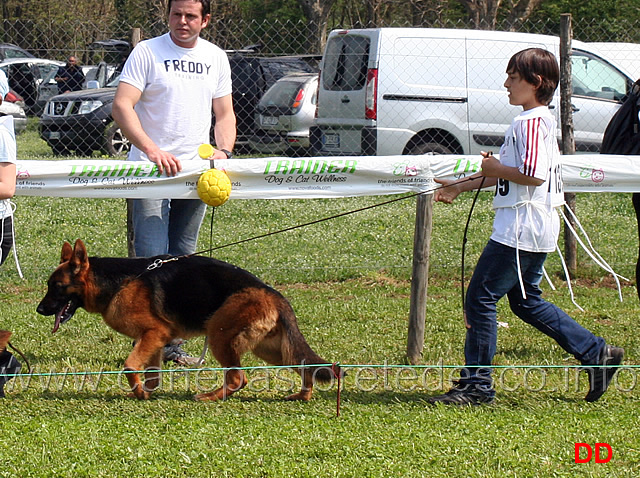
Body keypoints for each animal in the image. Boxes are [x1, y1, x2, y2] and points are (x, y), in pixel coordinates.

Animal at [37, 239, 338, 400]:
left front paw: (139, 392)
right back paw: (303, 395)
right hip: (270, 349)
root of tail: (273, 294)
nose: (39, 310)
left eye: (57, 287)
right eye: (49, 286)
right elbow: (152, 376)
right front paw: (145, 393)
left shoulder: (152, 333)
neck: (119, 282)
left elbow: (129, 366)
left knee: (238, 378)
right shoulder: (155, 340)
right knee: (304, 366)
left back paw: (210, 397)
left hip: (219, 336)